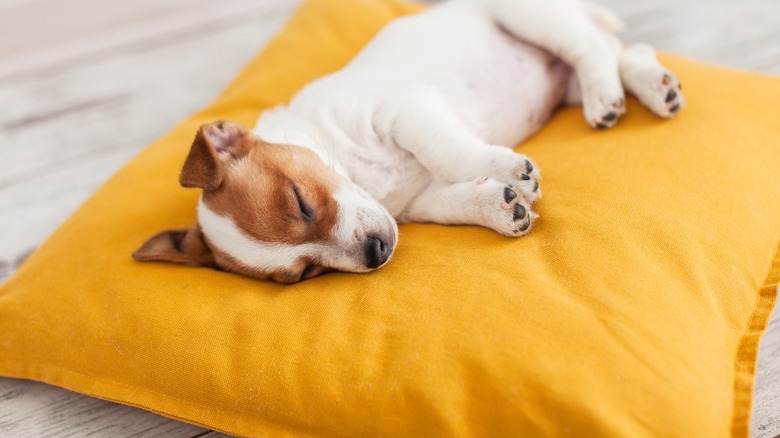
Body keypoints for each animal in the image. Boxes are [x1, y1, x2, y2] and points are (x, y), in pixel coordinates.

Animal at [133, 0, 684, 282]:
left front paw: (508, 170)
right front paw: (501, 205)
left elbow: (452, 151)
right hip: (562, 80)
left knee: (594, 48)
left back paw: (606, 98)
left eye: (301, 201)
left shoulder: (403, 109)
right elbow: (458, 200)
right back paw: (653, 87)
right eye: (305, 274)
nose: (377, 252)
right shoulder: (422, 200)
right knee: (622, 51)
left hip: (527, 16)